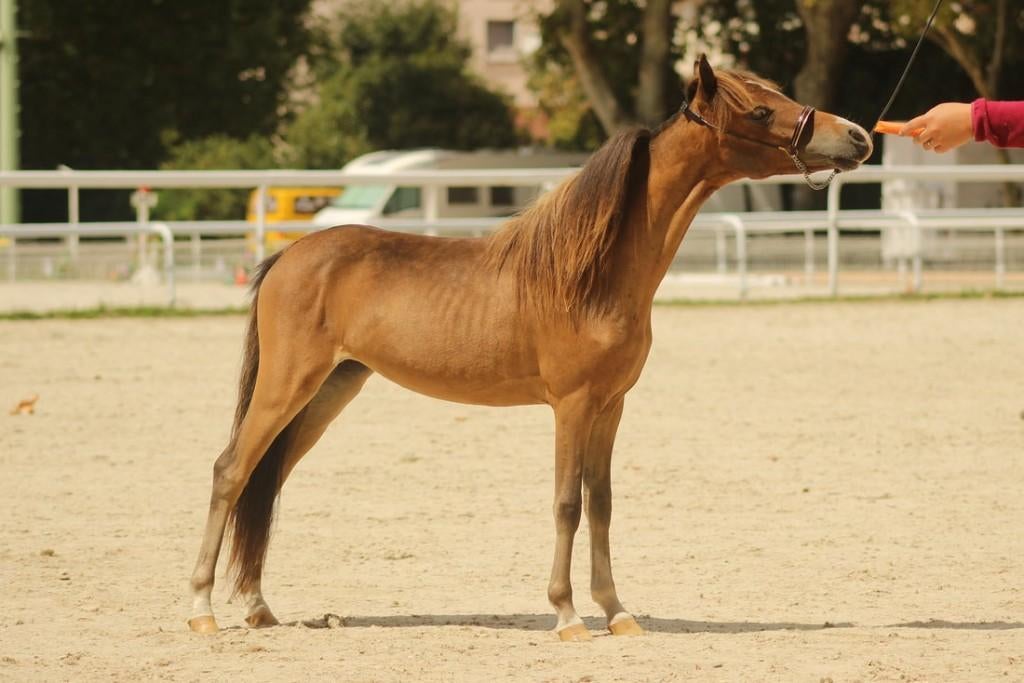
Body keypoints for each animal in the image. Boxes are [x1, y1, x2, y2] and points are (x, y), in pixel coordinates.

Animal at [187, 56, 872, 641]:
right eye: (759, 109)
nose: (857, 136)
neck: (591, 273)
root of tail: (288, 257)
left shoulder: (611, 407)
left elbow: (602, 504)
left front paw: (617, 612)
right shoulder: (571, 404)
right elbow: (567, 504)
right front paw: (567, 616)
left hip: (331, 389)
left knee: (268, 480)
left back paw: (258, 607)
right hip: (287, 386)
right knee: (231, 471)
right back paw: (202, 610)